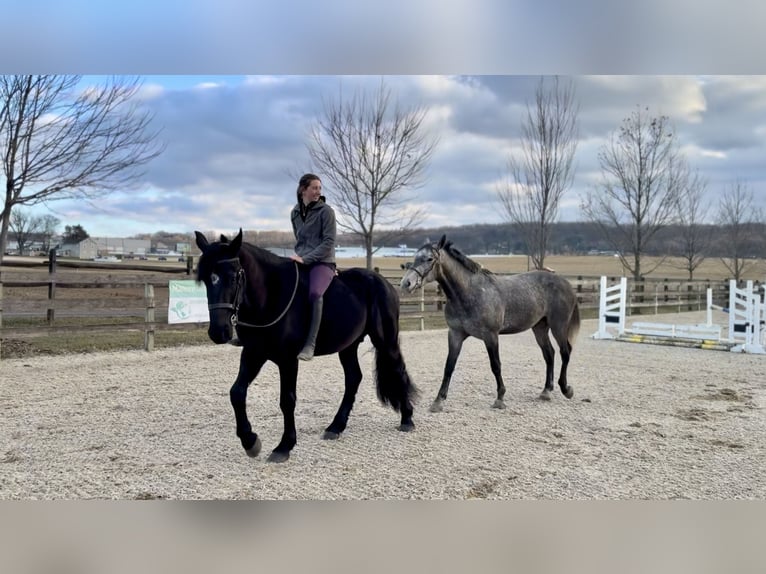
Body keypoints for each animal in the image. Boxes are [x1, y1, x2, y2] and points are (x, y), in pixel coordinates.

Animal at [194, 229, 417, 463]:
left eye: (233, 276)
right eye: (206, 280)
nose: (218, 332)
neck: (270, 295)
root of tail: (385, 283)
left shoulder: (288, 360)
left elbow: (287, 400)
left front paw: (284, 446)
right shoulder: (254, 353)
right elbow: (236, 393)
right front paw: (250, 441)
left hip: (386, 340)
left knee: (397, 370)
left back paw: (407, 419)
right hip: (348, 346)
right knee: (353, 378)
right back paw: (335, 427)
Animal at [400, 235, 580, 412]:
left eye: (429, 259)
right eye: (415, 258)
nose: (406, 283)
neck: (469, 292)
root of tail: (566, 283)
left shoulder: (491, 336)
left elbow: (496, 365)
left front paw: (500, 398)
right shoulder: (455, 334)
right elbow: (449, 366)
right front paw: (438, 401)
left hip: (558, 326)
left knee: (565, 352)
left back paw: (566, 389)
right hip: (539, 328)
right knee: (549, 354)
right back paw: (546, 391)